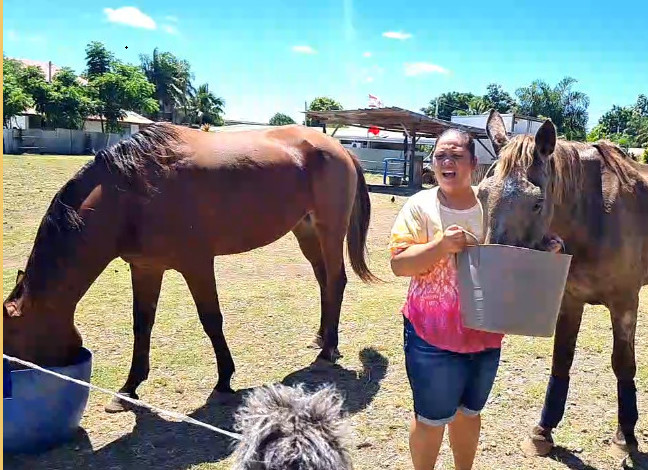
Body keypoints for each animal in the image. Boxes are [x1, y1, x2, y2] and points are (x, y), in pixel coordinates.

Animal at [2, 123, 378, 414]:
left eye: (13, 344)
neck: (132, 193)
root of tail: (340, 149)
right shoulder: (145, 268)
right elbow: (142, 325)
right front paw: (128, 389)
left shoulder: (197, 264)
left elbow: (211, 320)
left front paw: (224, 381)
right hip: (305, 230)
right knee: (323, 283)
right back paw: (322, 338)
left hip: (330, 231)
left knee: (336, 281)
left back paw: (328, 350)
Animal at [476, 111, 648, 462]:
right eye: (482, 193)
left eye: (537, 202)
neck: (596, 215)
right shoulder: (570, 300)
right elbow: (562, 359)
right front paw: (543, 431)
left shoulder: (625, 303)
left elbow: (623, 364)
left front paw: (625, 437)